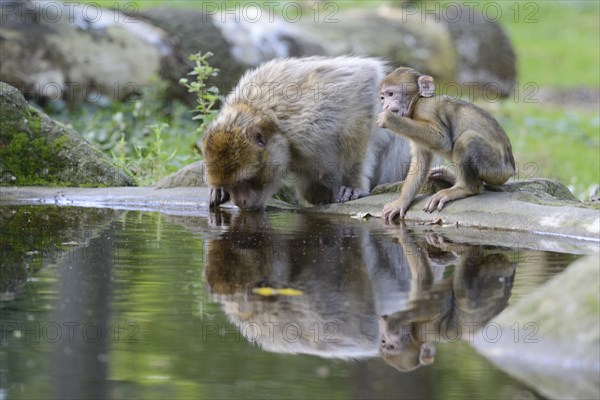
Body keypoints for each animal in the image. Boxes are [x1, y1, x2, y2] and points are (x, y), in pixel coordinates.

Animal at [204, 58, 410, 212]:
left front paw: (353, 184)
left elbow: (361, 88)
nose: (240, 202)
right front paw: (218, 189)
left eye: (245, 181)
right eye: (230, 186)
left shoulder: (307, 115)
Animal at [380, 66, 516, 222]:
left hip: (496, 170)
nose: (385, 105)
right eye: (382, 97)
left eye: (391, 94)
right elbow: (422, 159)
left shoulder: (426, 109)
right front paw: (401, 202)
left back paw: (464, 188)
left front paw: (389, 119)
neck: (417, 102)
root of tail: (510, 168)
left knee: (466, 139)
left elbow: (442, 140)